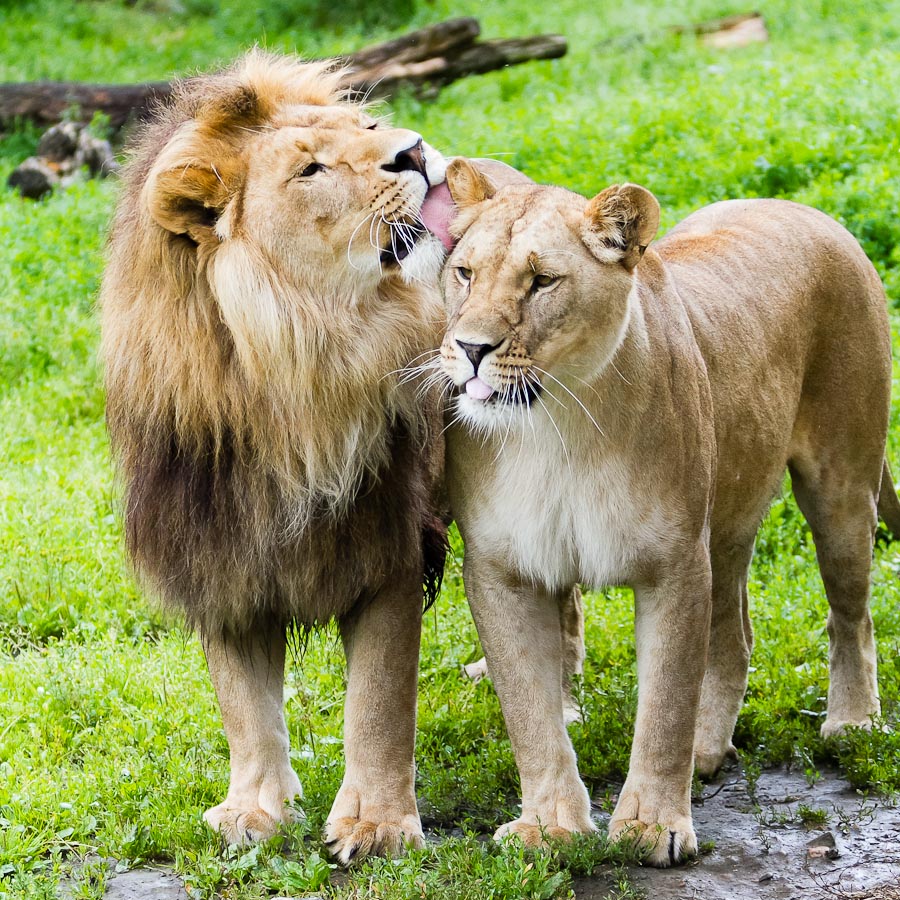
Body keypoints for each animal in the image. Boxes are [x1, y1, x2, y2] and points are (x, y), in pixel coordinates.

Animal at [100, 51, 478, 864]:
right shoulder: (219, 557)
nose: (413, 151)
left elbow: (378, 701)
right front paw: (255, 811)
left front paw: (377, 825)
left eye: (368, 127)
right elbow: (244, 707)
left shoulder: (387, 549)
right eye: (310, 169)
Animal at [432, 160, 896, 864]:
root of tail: (806, 210)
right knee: (734, 635)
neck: (557, 430)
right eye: (463, 272)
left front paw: (652, 825)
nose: (469, 347)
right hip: (727, 519)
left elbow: (666, 704)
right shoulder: (502, 570)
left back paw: (852, 723)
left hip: (840, 486)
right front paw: (549, 827)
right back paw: (710, 748)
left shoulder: (674, 564)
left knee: (852, 614)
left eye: (542, 281)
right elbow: (531, 713)